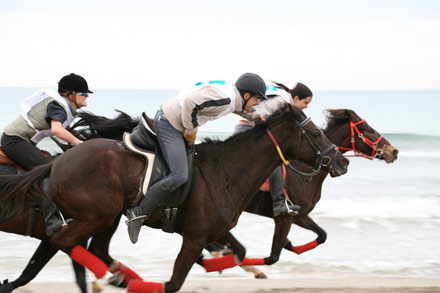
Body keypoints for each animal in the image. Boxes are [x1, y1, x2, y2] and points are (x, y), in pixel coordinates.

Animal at [0, 105, 348, 292]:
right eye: (315, 134)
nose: (341, 161)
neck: (226, 171)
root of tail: (56, 162)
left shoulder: (214, 232)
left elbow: (239, 252)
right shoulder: (194, 237)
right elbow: (175, 282)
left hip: (106, 217)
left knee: (87, 249)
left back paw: (122, 277)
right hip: (97, 215)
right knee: (63, 241)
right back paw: (119, 278)